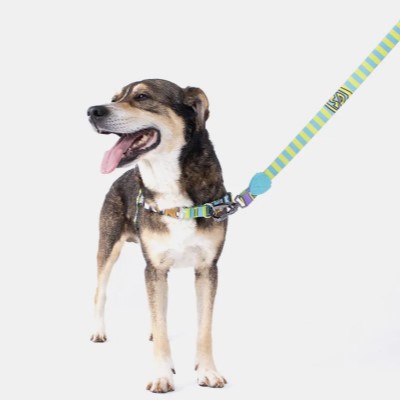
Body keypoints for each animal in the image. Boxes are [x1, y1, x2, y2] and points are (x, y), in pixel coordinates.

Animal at [87, 79, 230, 393]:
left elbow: (204, 327)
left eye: (142, 96)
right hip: (108, 246)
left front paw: (208, 372)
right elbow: (161, 324)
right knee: (100, 292)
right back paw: (98, 331)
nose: (92, 111)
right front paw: (162, 376)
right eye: (114, 98)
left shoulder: (207, 268)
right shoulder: (153, 268)